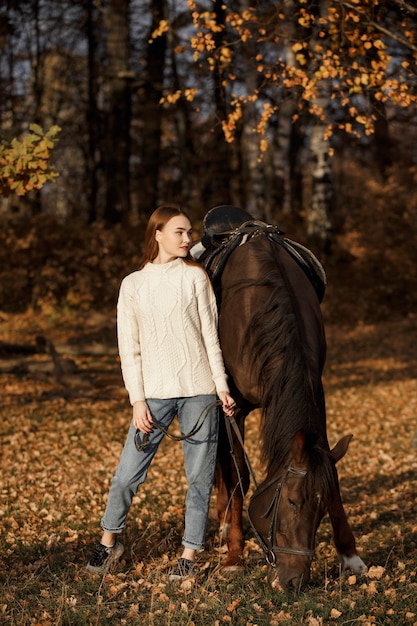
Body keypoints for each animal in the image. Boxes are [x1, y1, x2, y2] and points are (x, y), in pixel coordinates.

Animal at [197, 206, 366, 588]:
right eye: (290, 501)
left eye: (320, 510)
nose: (295, 581)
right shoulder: (234, 408)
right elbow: (238, 478)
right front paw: (234, 556)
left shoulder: (315, 392)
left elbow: (331, 470)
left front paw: (350, 555)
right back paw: (226, 524)